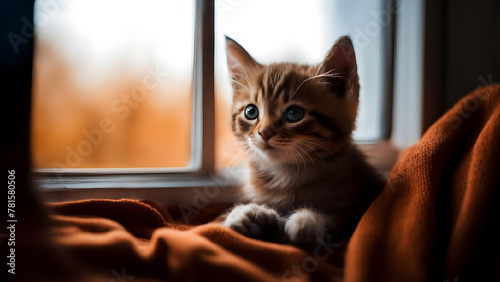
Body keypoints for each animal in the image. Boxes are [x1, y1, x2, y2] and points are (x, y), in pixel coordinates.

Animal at [221, 36, 384, 246]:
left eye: (293, 113)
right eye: (251, 111)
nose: (264, 133)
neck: (286, 175)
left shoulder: (359, 205)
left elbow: (338, 219)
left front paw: (307, 220)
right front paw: (245, 212)